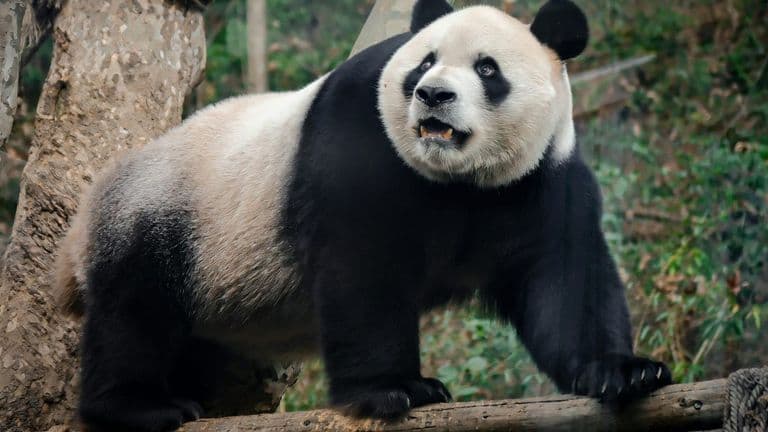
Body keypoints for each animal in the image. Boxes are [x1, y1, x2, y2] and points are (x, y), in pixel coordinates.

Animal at [53, 0, 672, 431]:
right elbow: (362, 268)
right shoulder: (359, 136)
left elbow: (565, 282)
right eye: (424, 63)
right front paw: (398, 389)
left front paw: (624, 371)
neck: (458, 180)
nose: (433, 96)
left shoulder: (540, 178)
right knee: (136, 312)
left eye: (488, 69)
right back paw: (141, 407)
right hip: (170, 216)